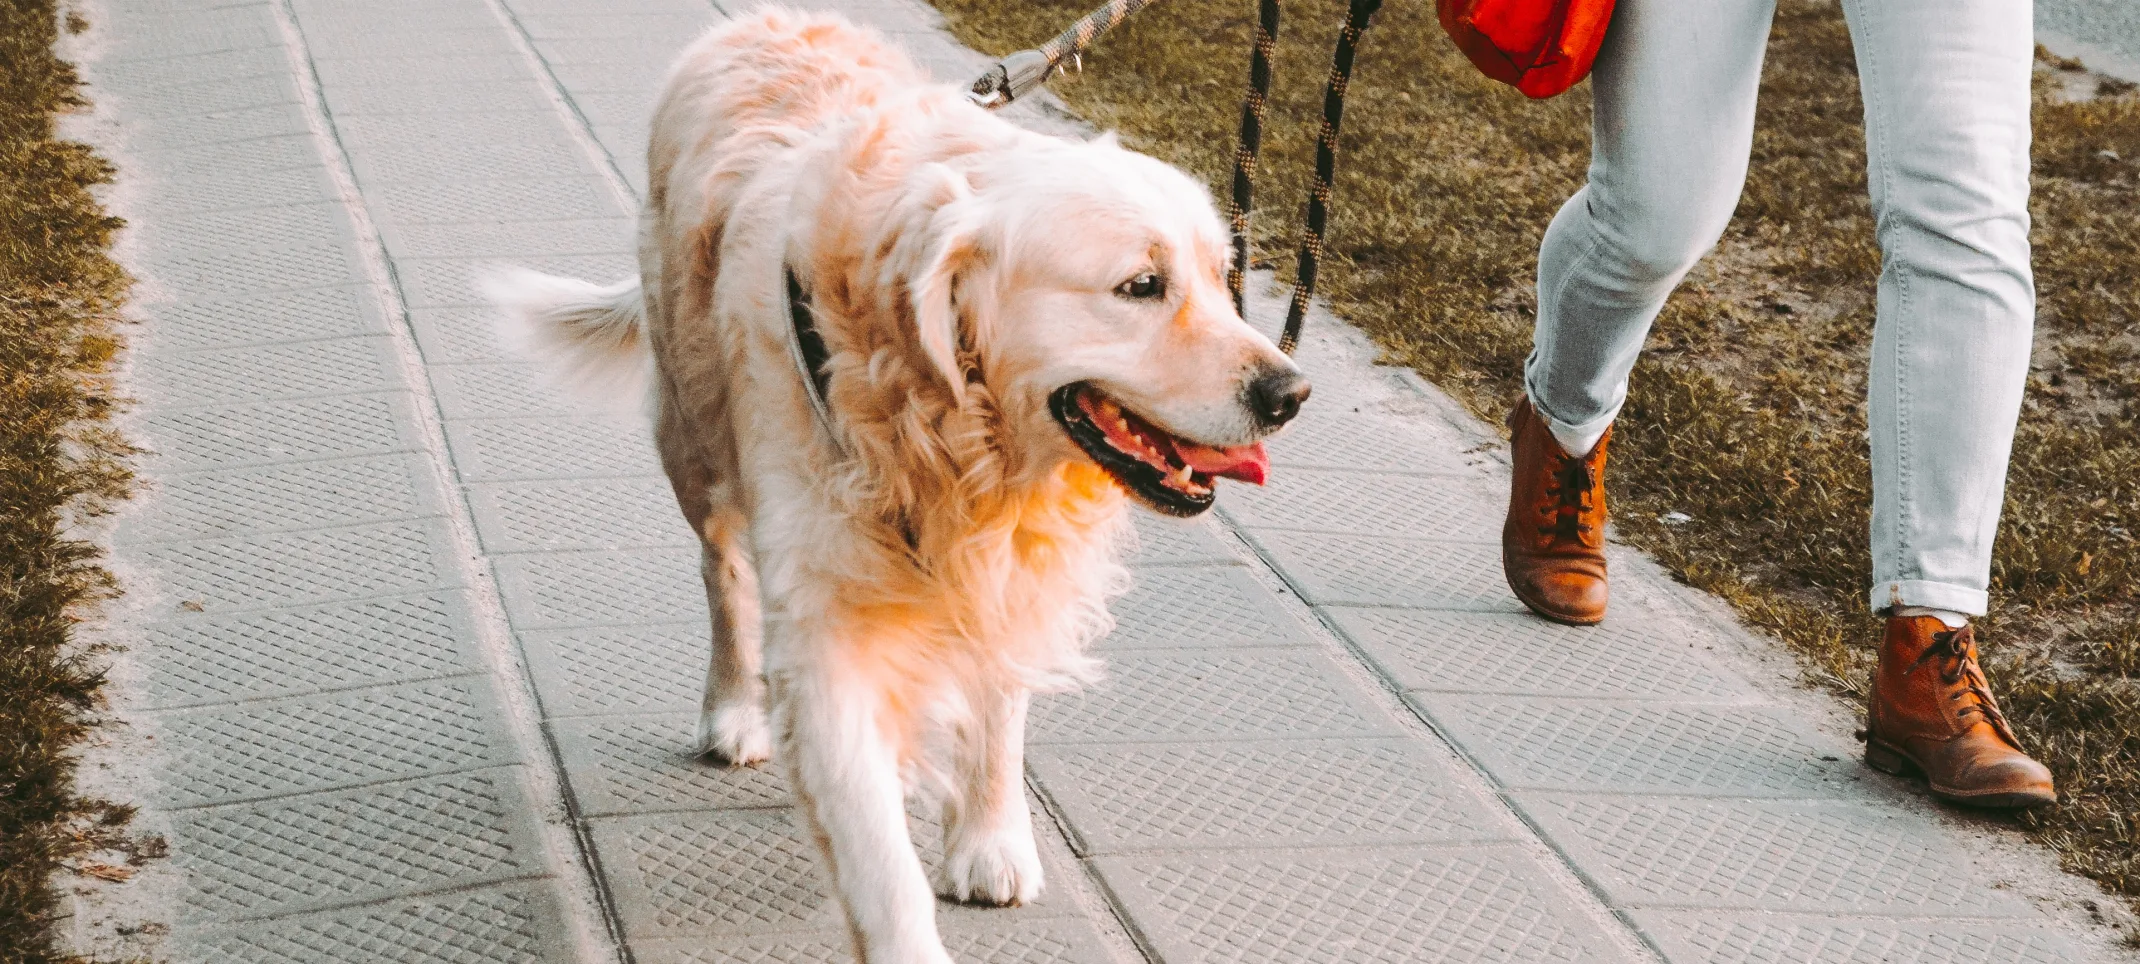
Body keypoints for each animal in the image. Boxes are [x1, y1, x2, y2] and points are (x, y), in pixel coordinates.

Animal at [487, 9, 1309, 964]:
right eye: (1141, 286)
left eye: (1223, 278)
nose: (1291, 393)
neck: (950, 431)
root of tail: (760, 19)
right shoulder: (827, 630)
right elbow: (877, 852)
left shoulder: (1007, 568)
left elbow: (998, 706)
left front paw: (990, 838)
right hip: (692, 436)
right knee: (723, 570)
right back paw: (732, 711)